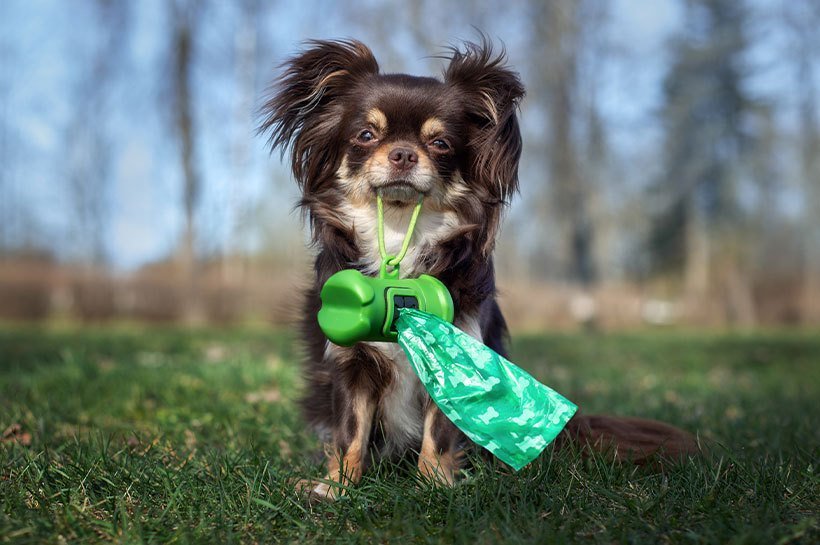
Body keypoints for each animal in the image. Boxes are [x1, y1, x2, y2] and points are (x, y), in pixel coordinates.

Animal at [258, 37, 700, 498]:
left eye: (440, 144)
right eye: (365, 135)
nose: (402, 154)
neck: (399, 233)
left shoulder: (459, 351)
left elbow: (439, 432)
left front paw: (435, 485)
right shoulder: (352, 364)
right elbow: (350, 431)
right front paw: (338, 486)